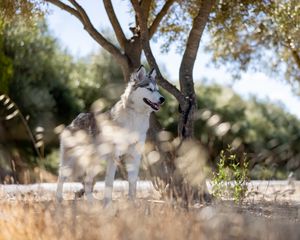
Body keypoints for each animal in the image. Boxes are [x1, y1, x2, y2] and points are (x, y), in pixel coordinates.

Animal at [56, 66, 164, 204]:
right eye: (149, 89)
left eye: (158, 90)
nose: (162, 99)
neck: (135, 118)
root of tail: (76, 119)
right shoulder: (114, 157)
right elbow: (109, 184)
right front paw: (107, 205)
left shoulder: (134, 156)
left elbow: (133, 183)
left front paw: (132, 204)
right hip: (72, 162)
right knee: (61, 177)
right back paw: (59, 200)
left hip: (94, 163)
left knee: (87, 182)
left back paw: (92, 203)